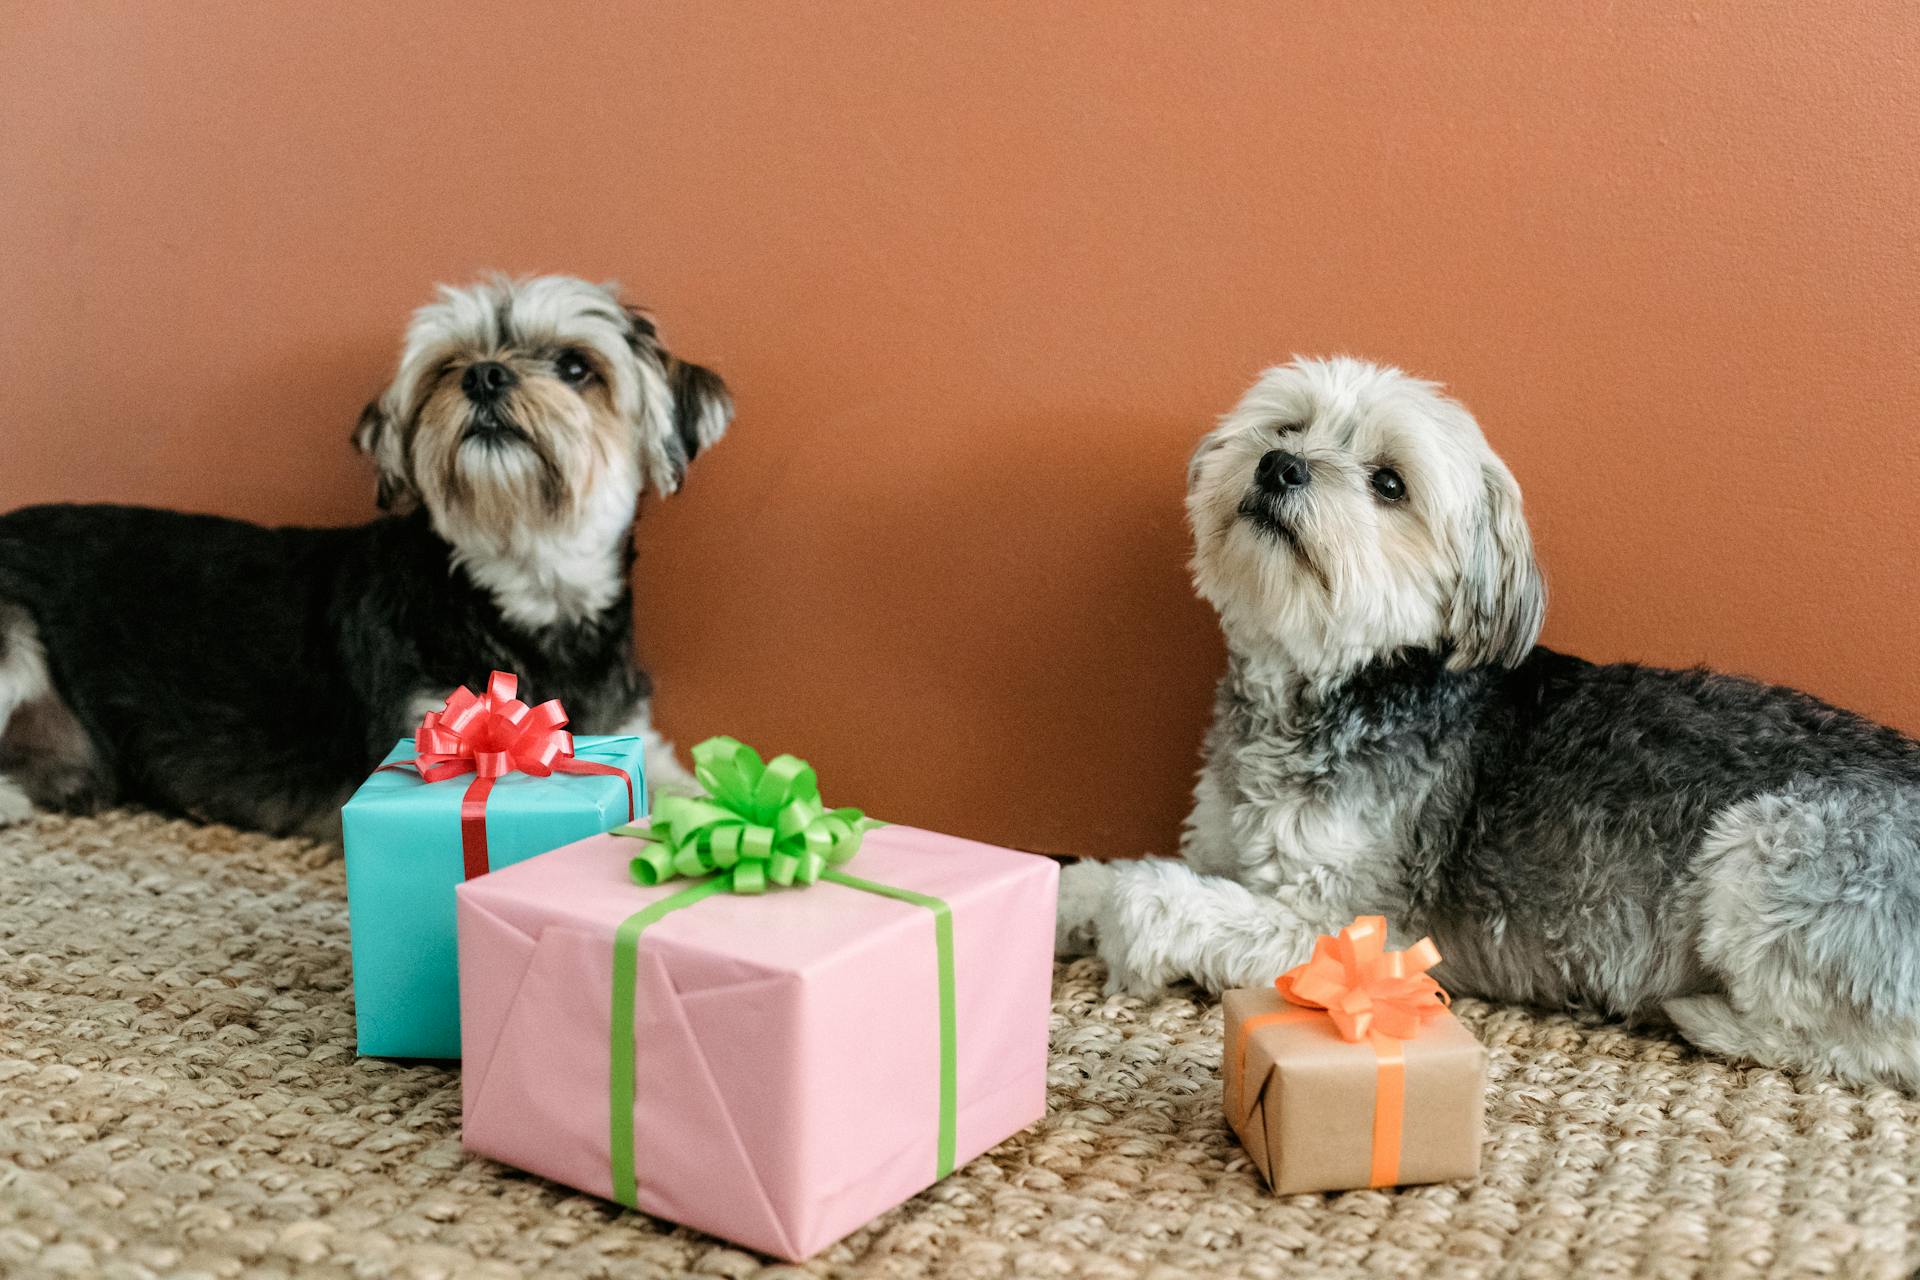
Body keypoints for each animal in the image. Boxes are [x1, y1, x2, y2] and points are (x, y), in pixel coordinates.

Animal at [0, 272, 729, 840]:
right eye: (446, 366)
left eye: (577, 367)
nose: (483, 375)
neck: (523, 597)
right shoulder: (419, 734)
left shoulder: (637, 736)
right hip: (11, 639)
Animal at [1059, 358, 1920, 1090]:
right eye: (1288, 427)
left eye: (1389, 483)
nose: (1279, 466)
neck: (1336, 685)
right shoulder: (1224, 847)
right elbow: (1097, 877)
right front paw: (1062, 900)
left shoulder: (1356, 932)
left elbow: (1150, 895)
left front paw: (1123, 938)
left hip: (1765, 851)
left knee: (1864, 1049)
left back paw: (1705, 1018)